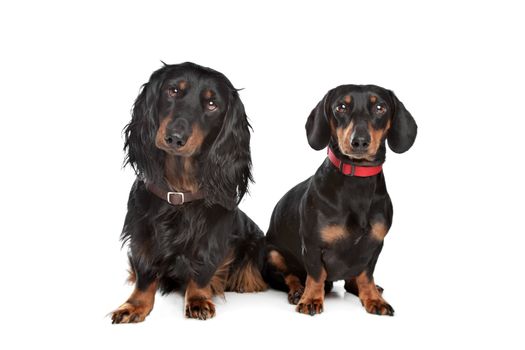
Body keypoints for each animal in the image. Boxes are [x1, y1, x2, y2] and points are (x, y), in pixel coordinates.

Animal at [264, 84, 416, 314]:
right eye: (341, 107)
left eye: (380, 107)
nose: (359, 141)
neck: (357, 182)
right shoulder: (312, 244)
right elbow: (316, 274)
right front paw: (311, 299)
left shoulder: (375, 245)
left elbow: (366, 275)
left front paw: (373, 298)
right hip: (272, 254)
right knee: (290, 276)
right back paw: (298, 291)